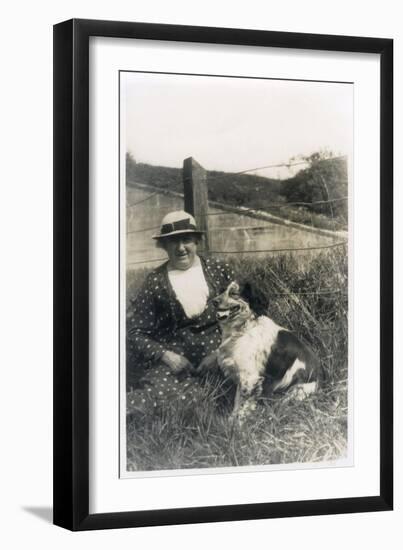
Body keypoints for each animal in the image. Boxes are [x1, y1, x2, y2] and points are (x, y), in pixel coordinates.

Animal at [200, 282, 326, 420]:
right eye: (222, 291)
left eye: (233, 293)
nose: (214, 301)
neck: (244, 327)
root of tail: (320, 378)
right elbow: (237, 402)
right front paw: (231, 420)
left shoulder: (250, 377)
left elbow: (243, 405)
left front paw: (238, 423)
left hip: (294, 390)